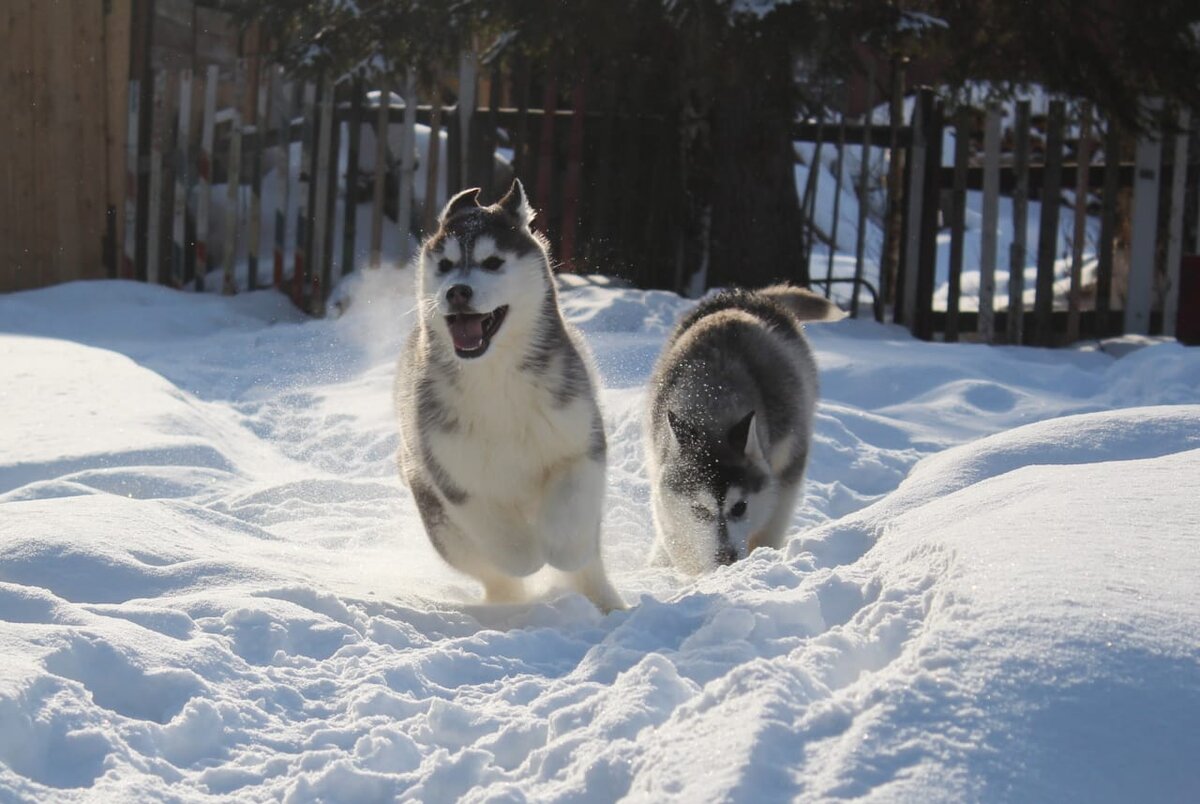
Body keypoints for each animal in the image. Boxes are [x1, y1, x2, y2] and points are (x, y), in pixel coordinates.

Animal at [396, 181, 624, 612]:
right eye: (446, 265)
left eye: (492, 262)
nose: (457, 292)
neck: (495, 377)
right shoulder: (453, 475)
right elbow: (501, 538)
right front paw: (528, 553)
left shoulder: (580, 442)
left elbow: (571, 514)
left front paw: (559, 547)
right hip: (440, 524)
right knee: (492, 572)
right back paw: (508, 604)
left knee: (590, 561)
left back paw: (606, 604)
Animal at [648, 286, 844, 576]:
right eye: (700, 511)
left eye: (740, 507)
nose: (726, 557)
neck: (713, 401)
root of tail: (746, 295)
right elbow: (676, 532)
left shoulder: (788, 464)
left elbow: (772, 518)